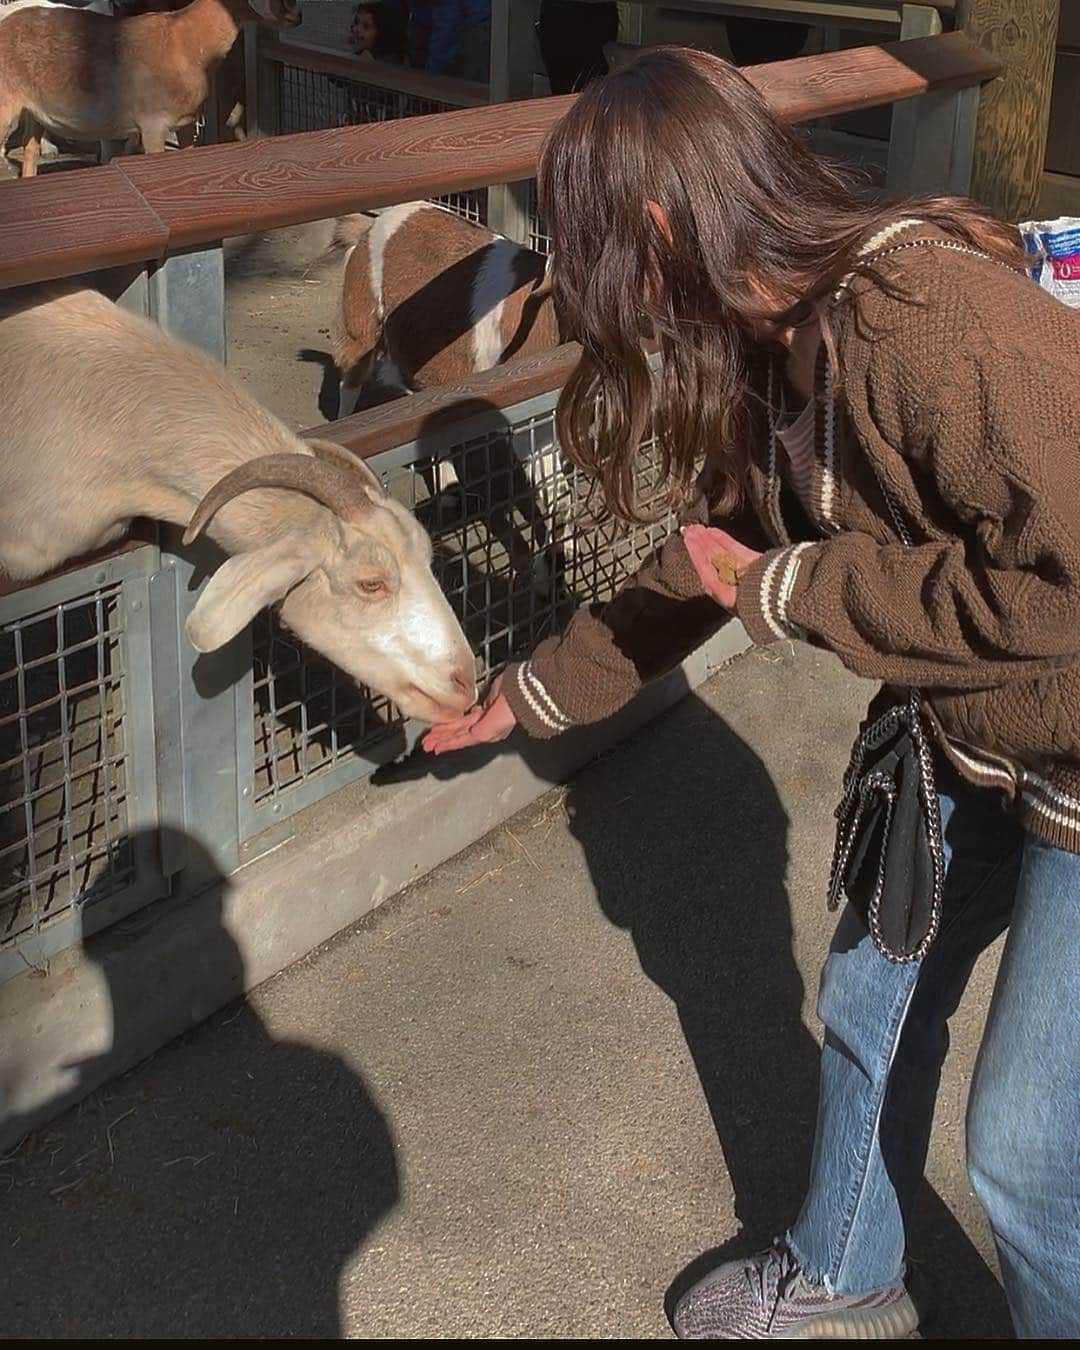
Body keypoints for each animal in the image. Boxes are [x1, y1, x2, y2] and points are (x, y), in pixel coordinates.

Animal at [0, 0, 299, 175]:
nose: (295, 14)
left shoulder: (185, 123)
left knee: (30, 152)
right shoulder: (153, 125)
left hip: (33, 112)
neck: (185, 43)